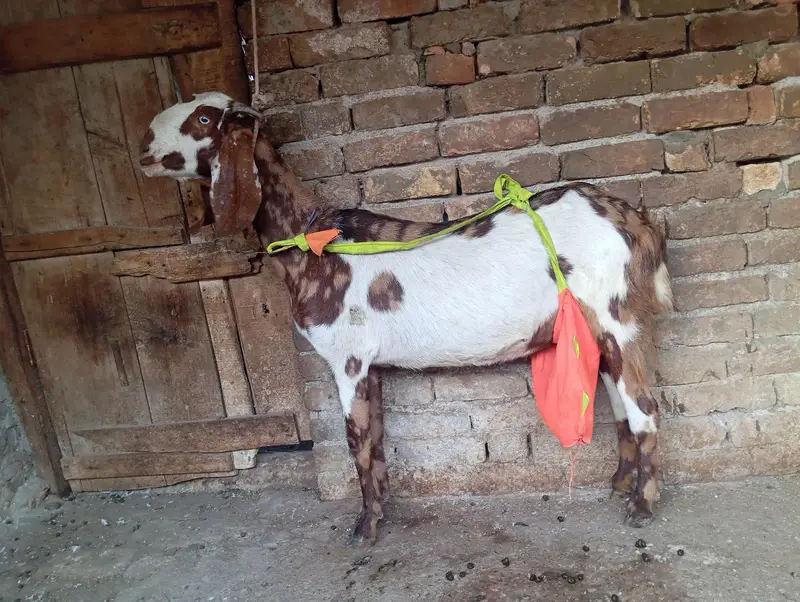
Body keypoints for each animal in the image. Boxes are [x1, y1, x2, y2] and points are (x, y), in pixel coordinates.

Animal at [138, 92, 674, 546]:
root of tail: (637, 222)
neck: (314, 241)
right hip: (601, 331)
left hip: (618, 317)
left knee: (645, 405)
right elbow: (375, 439)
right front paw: (380, 510)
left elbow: (355, 440)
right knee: (621, 404)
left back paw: (642, 507)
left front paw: (363, 531)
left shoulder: (348, 357)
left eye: (202, 118)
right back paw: (619, 484)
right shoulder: (370, 366)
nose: (143, 147)